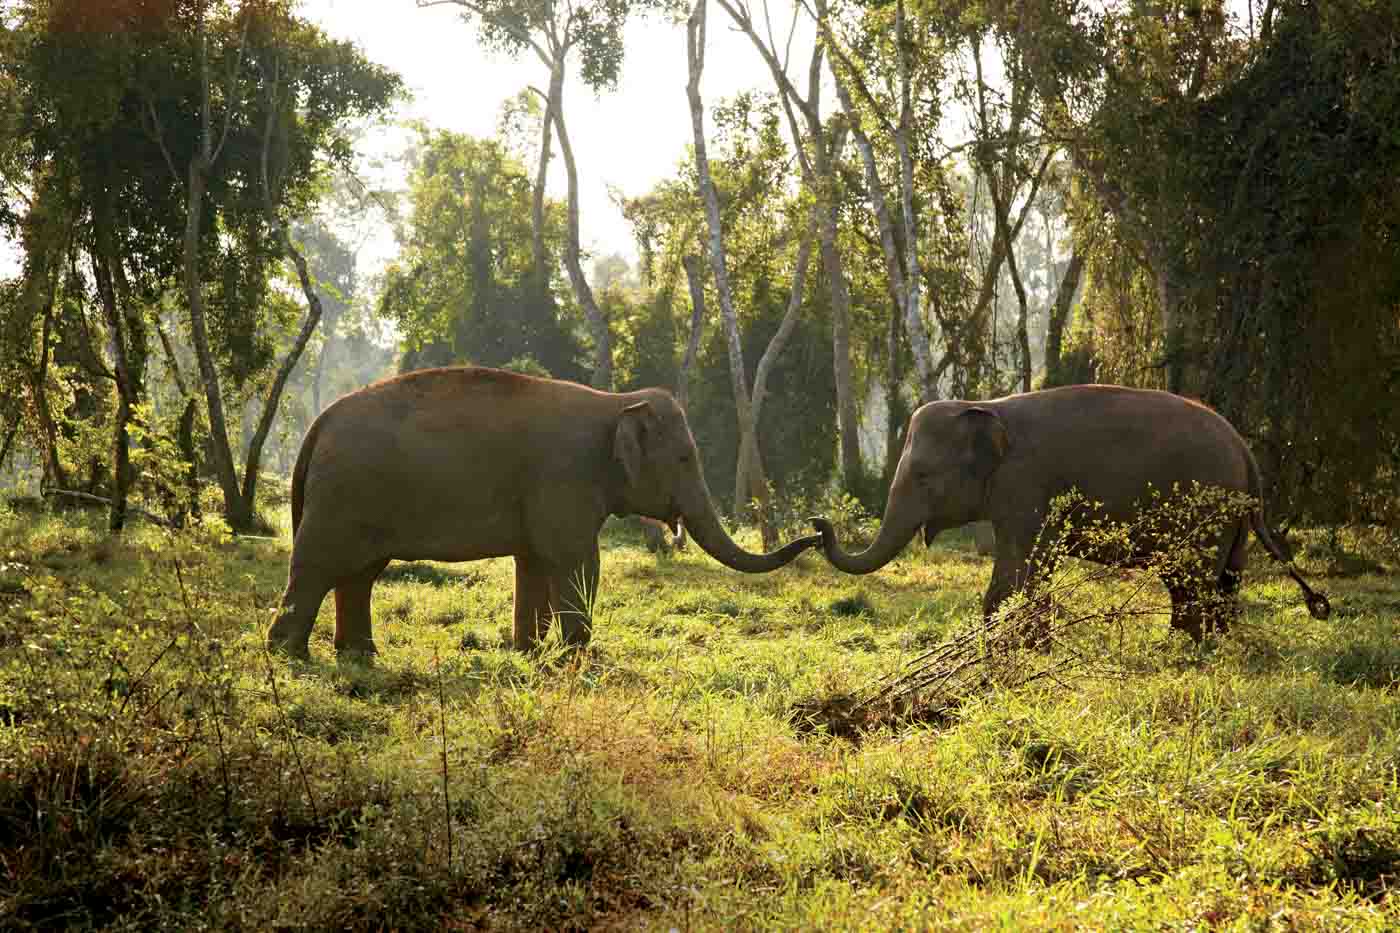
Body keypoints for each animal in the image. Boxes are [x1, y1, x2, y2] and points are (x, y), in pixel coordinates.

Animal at [812, 381, 1321, 636]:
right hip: (1231, 519)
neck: (985, 406)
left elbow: (1019, 570)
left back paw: (1184, 652)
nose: (818, 525)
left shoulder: (1025, 485)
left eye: (921, 476)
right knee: (1220, 582)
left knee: (1191, 582)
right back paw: (1204, 648)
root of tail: (1243, 448)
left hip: (1205, 511)